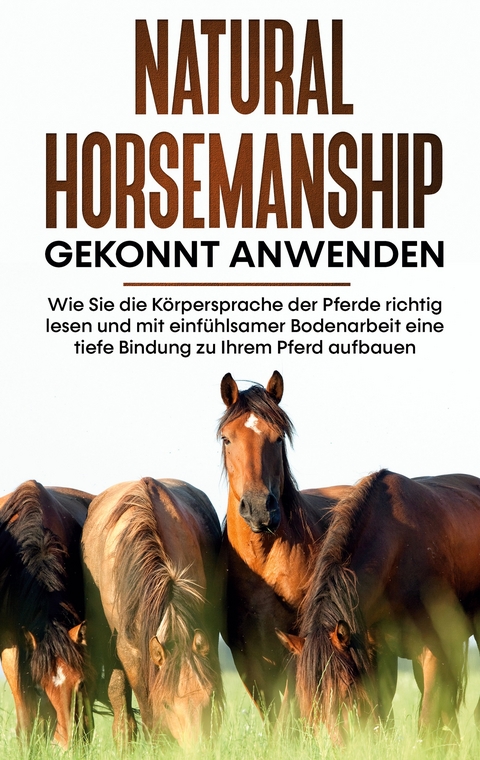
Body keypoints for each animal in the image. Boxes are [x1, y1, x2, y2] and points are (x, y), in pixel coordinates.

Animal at [218, 371, 351, 722]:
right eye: (227, 439)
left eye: (278, 438)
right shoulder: (246, 653)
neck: (264, 561)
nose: (259, 509)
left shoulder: (297, 642)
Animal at [279, 469, 480, 742]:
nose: (335, 746)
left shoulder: (432, 652)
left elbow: (428, 721)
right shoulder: (374, 654)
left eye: (345, 690)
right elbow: (381, 718)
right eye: (306, 698)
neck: (397, 550)